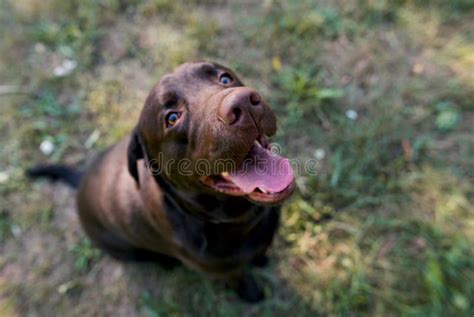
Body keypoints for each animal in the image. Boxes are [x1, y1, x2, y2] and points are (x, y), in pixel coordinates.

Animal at [27, 61, 294, 302]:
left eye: (225, 78)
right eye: (172, 117)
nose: (244, 103)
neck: (239, 220)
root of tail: (82, 177)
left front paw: (261, 259)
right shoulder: (223, 270)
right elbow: (240, 277)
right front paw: (253, 293)